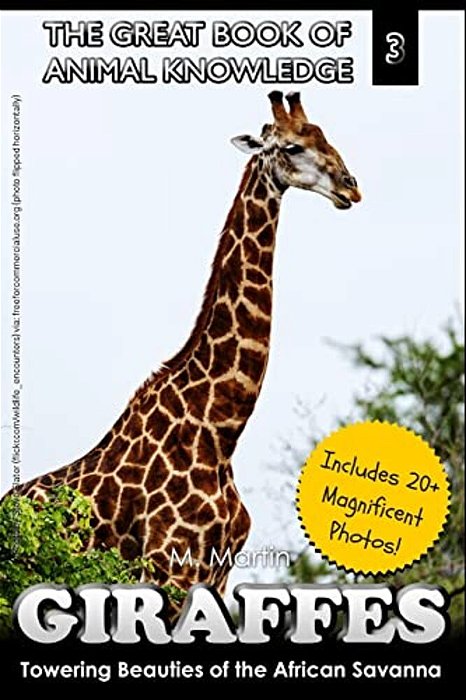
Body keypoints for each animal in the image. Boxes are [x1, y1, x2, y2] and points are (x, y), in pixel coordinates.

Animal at [8, 91, 361, 598]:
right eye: (293, 147)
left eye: (324, 136)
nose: (351, 188)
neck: (220, 431)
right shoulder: (169, 568)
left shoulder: (217, 574)